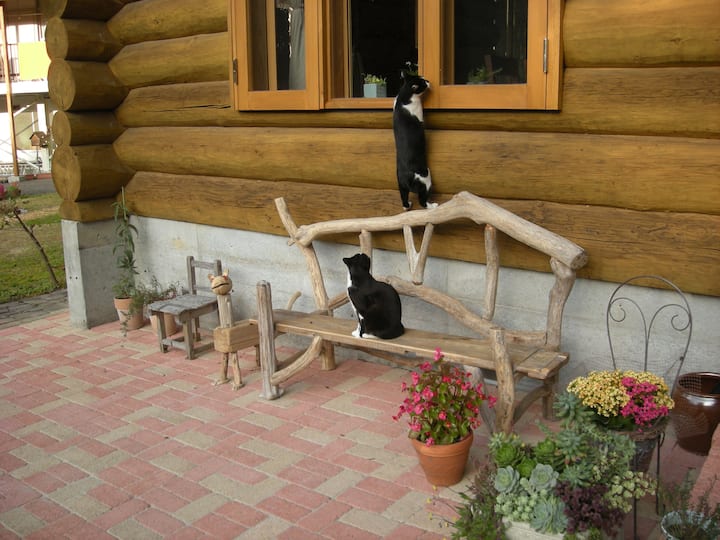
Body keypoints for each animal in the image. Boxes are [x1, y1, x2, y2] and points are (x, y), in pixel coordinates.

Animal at [393, 71, 438, 210]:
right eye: (423, 82)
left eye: (423, 78)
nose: (428, 81)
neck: (403, 97)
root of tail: (407, 177)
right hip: (426, 179)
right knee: (423, 201)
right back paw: (433, 206)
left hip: (401, 186)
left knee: (404, 200)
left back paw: (408, 205)